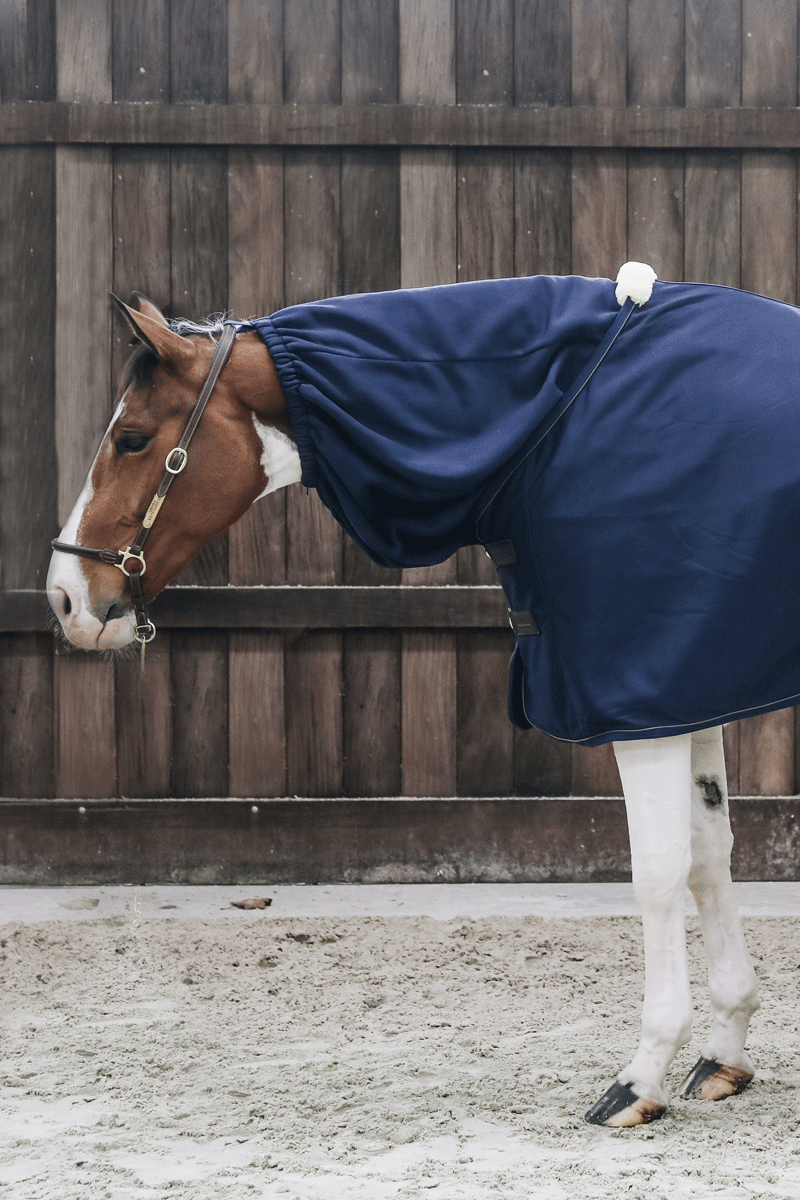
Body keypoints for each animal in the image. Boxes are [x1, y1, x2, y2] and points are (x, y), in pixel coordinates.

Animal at [47, 263, 773, 1128]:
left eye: (131, 438)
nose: (64, 597)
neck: (568, 408)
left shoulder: (641, 703)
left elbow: (658, 870)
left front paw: (642, 1078)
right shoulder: (687, 692)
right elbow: (709, 853)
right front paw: (725, 1052)